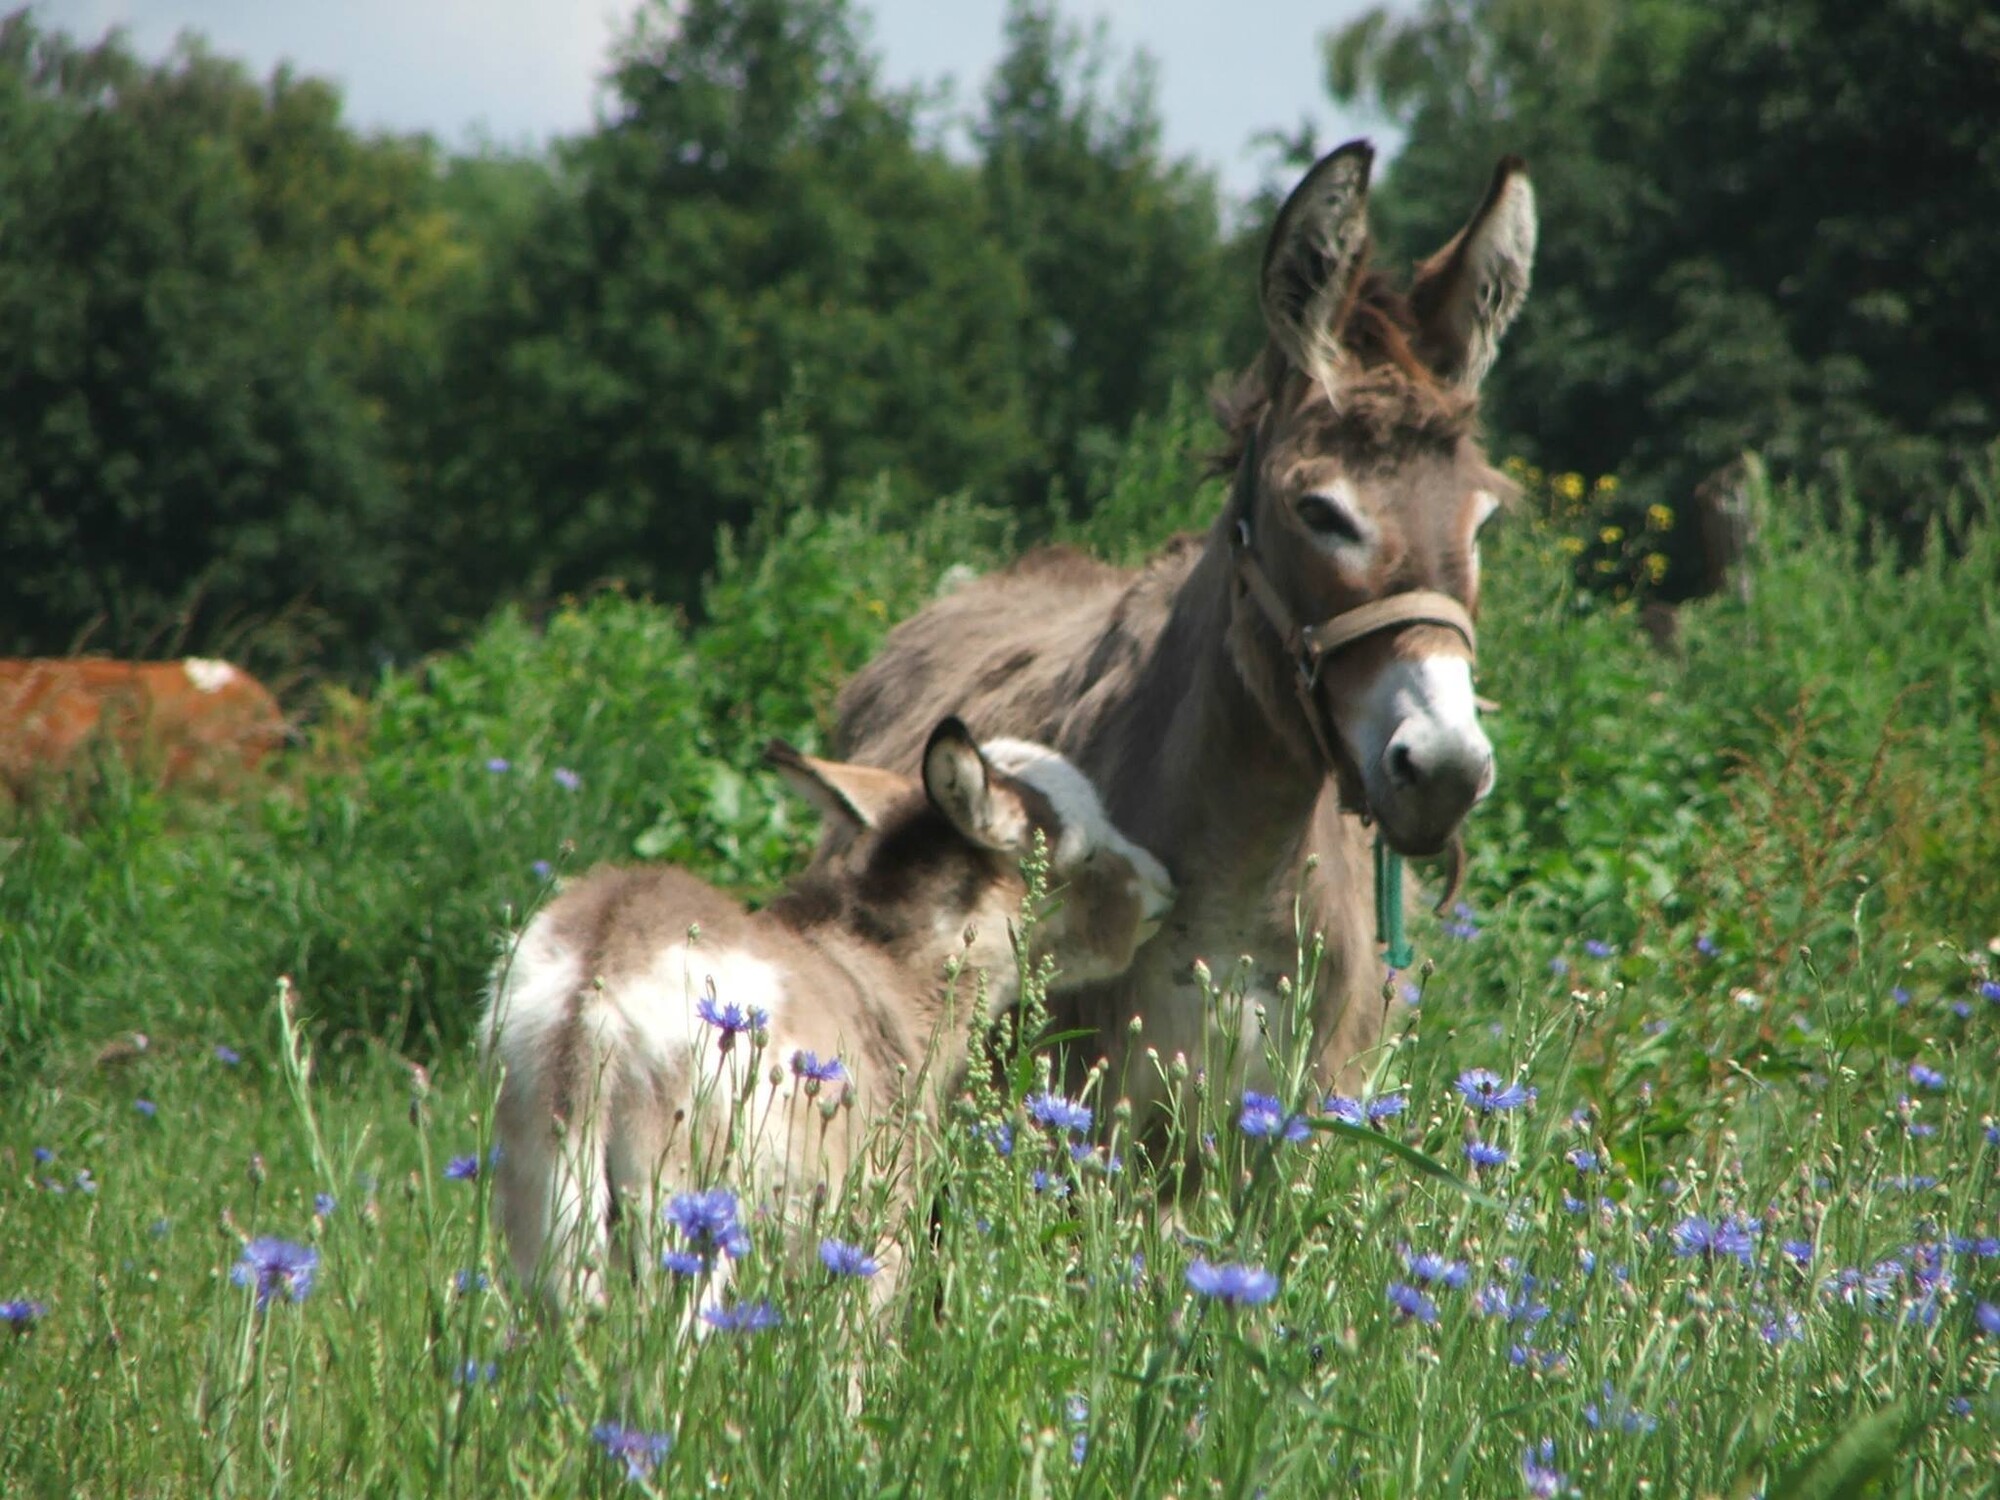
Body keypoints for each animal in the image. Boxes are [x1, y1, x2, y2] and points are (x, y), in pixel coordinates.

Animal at [482, 712, 1168, 1304]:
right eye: (1081, 855)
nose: (1164, 889)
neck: (877, 967)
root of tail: (598, 988)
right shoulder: (875, 1242)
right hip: (687, 1226)